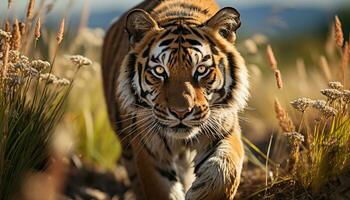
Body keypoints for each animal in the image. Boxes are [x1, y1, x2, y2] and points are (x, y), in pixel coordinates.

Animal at [100, 0, 249, 199]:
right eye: (159, 71)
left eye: (201, 69)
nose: (181, 112)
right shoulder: (149, 151)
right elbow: (161, 190)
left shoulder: (224, 128)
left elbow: (226, 171)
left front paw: (199, 193)